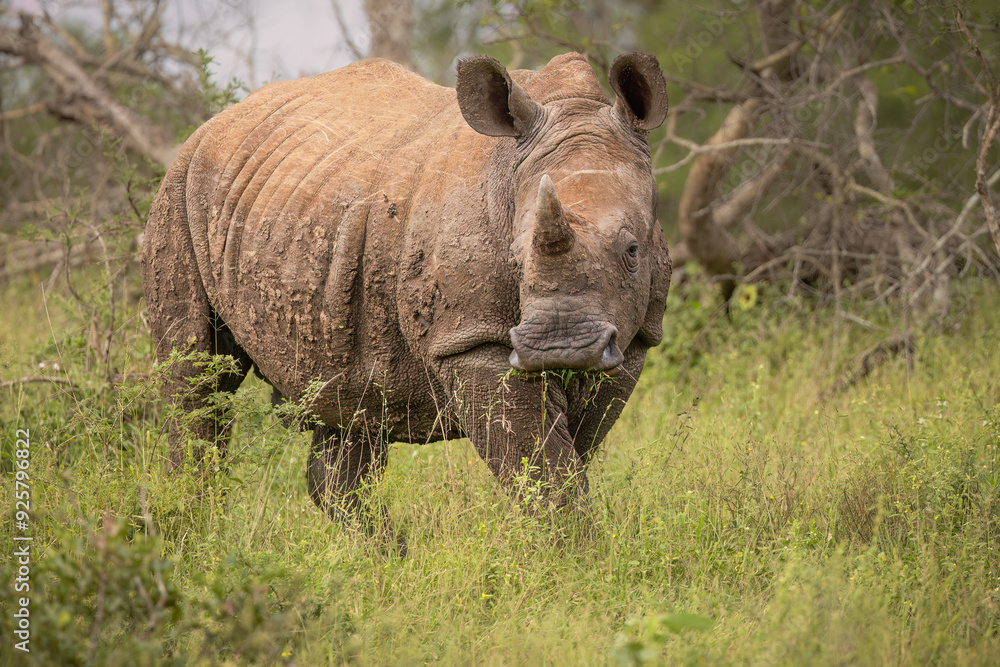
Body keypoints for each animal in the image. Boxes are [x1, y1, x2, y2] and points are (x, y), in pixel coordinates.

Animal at [142, 52, 671, 548]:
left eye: (632, 251)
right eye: (515, 258)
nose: (560, 346)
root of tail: (211, 126)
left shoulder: (633, 341)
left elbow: (566, 458)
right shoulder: (473, 340)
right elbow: (543, 468)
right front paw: (574, 559)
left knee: (350, 407)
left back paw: (384, 557)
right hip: (181, 190)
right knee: (195, 376)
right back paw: (193, 534)